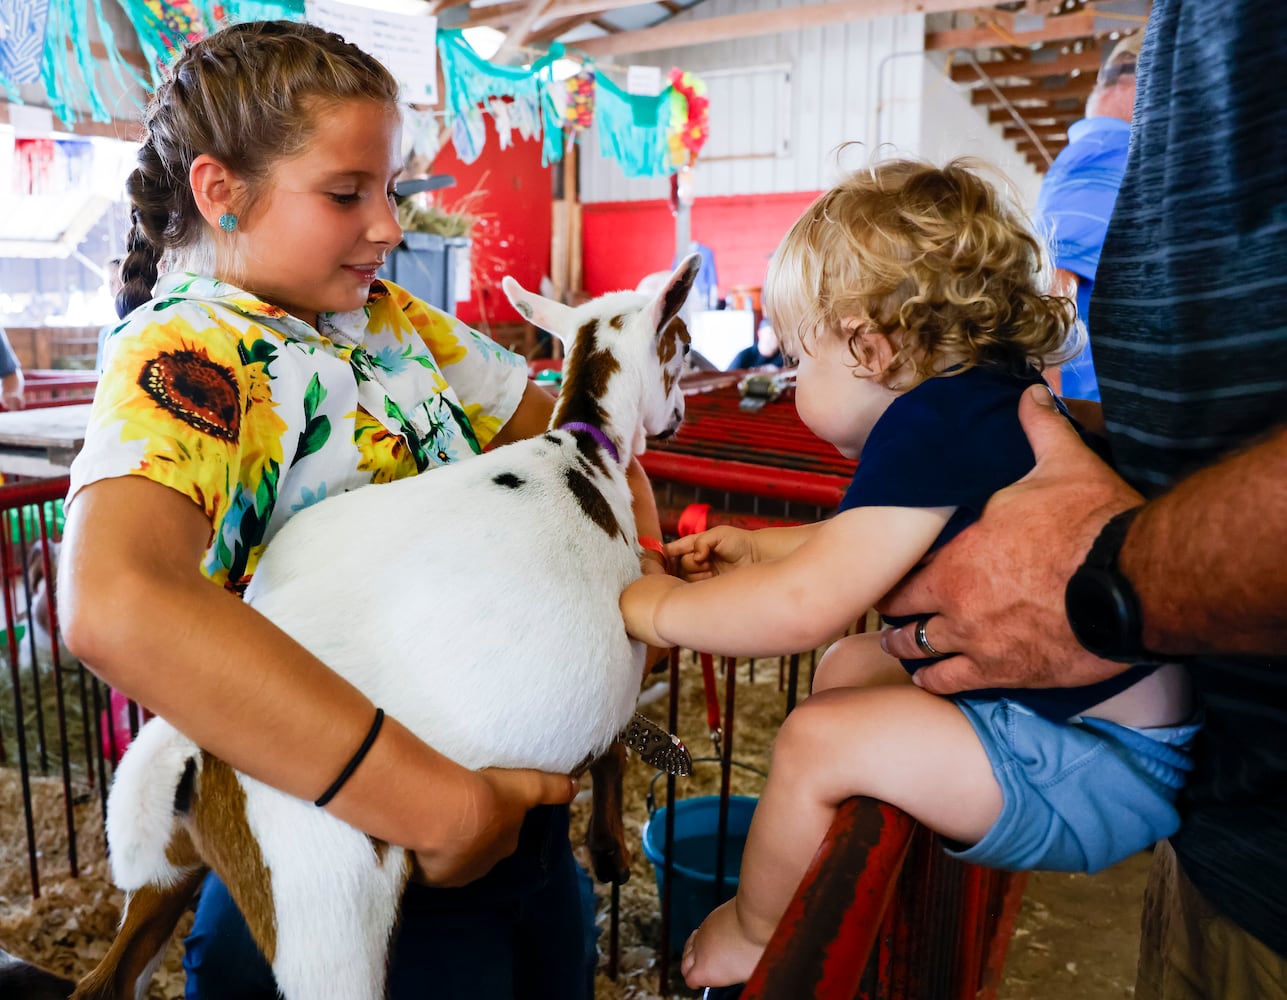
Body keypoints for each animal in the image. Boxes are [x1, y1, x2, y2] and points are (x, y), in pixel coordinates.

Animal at [75, 256, 700, 998]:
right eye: (684, 345)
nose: (680, 416)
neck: (583, 452)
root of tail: (192, 749)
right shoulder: (616, 678)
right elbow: (612, 750)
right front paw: (609, 852)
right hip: (328, 897)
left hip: (173, 864)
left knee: (111, 974)